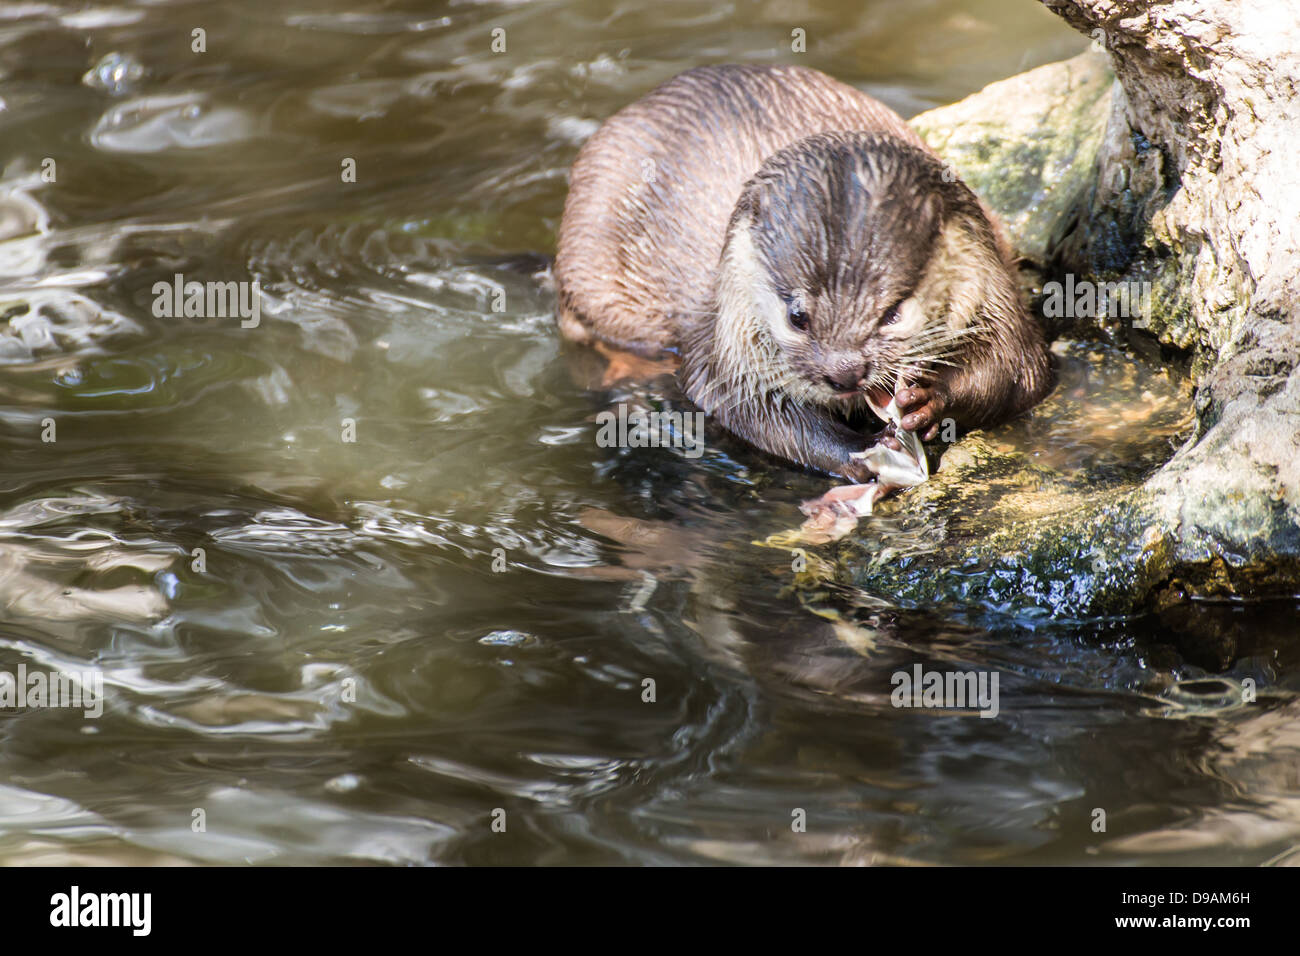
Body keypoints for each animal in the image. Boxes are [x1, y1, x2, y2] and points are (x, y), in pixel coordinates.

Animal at [553, 64, 1050, 481]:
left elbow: (1016, 370)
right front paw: (858, 452)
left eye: (893, 313)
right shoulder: (728, 349)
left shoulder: (991, 286)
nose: (844, 373)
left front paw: (929, 402)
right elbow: (750, 412)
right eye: (797, 317)